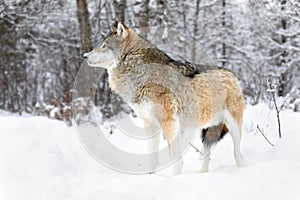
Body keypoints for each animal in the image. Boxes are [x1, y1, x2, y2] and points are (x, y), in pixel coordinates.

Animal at [82, 21, 244, 173]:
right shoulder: (150, 124)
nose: (84, 56)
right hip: (208, 131)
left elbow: (175, 159)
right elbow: (152, 158)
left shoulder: (169, 123)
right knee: (206, 153)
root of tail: (232, 74)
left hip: (233, 127)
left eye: (104, 46)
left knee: (237, 153)